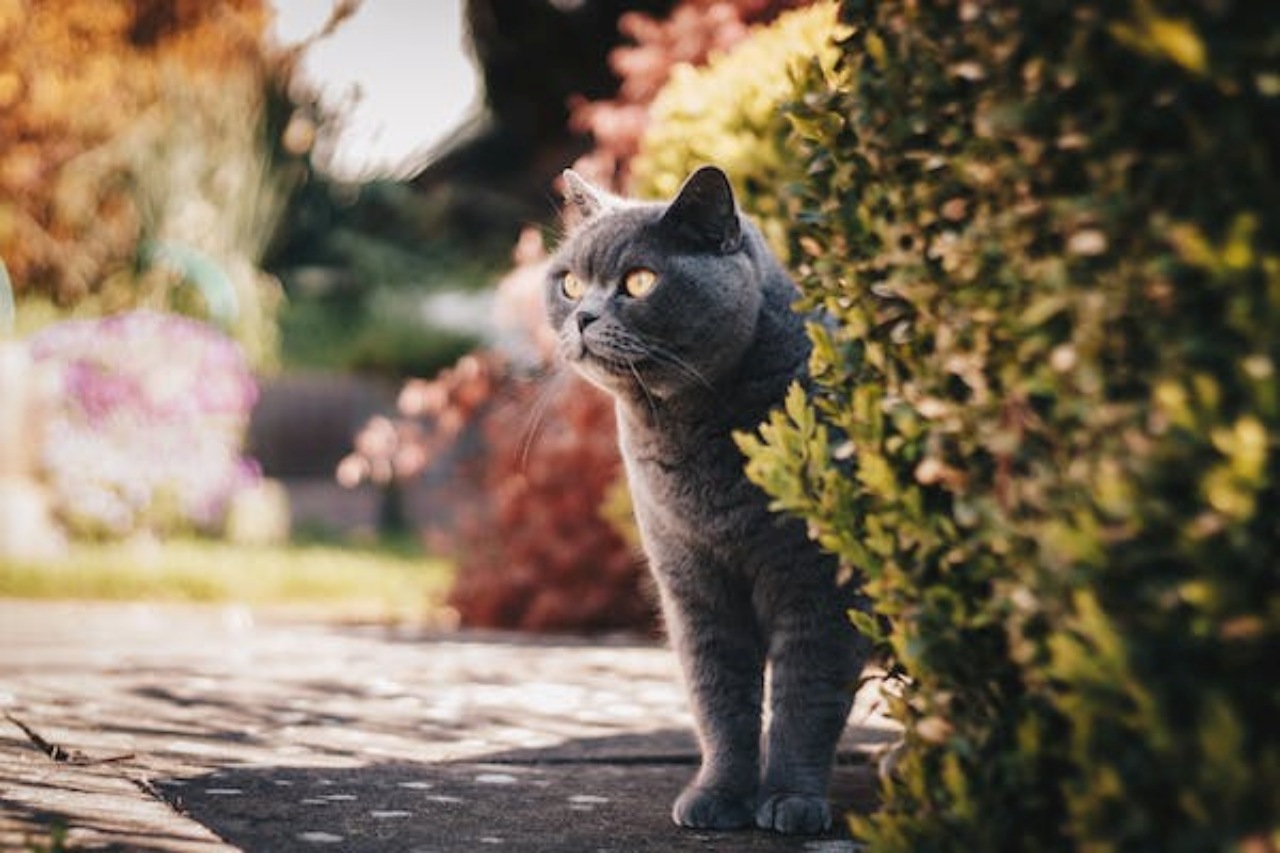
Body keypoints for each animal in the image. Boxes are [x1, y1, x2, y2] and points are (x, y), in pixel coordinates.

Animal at [542, 163, 870, 829]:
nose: (582, 315)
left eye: (640, 280)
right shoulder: (693, 583)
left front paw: (791, 801)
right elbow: (719, 699)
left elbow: (806, 698)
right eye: (569, 282)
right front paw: (718, 796)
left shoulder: (822, 584)